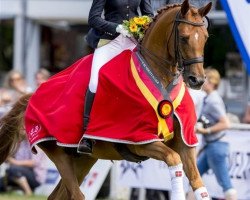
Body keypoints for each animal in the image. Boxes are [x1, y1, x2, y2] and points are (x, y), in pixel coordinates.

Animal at [0, 0, 212, 199]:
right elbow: (173, 158)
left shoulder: (185, 142)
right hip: (58, 153)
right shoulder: (141, 140)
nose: (197, 80)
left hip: (83, 159)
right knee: (76, 195)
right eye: (184, 37)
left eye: (205, 37)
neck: (159, 76)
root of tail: (33, 94)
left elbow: (197, 181)